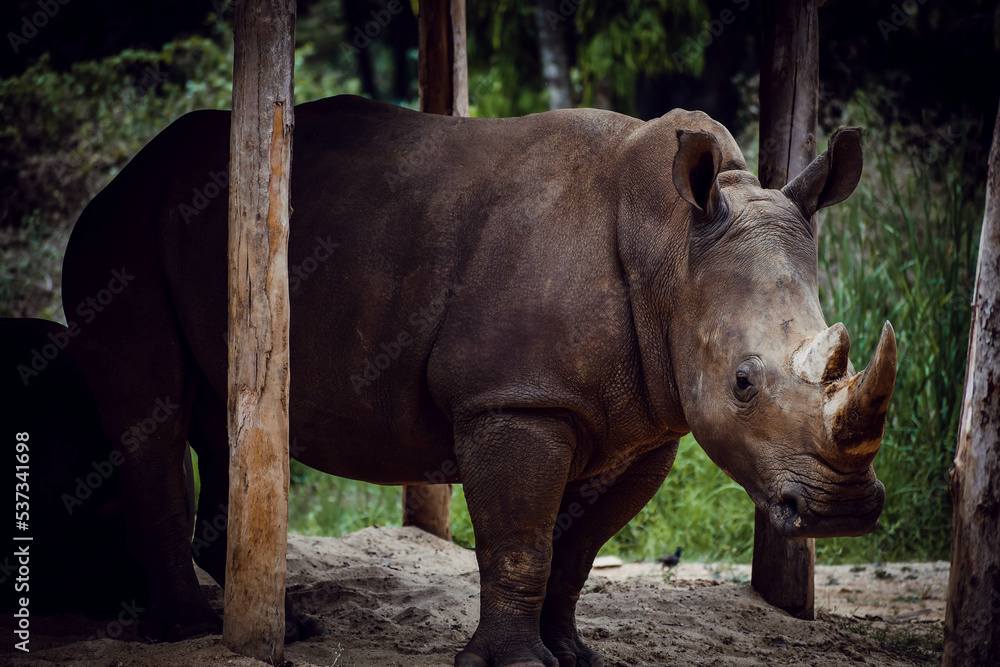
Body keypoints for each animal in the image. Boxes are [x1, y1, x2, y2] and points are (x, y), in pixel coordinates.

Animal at [62, 95, 896, 666]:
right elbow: (521, 539)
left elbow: (577, 547)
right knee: (154, 409)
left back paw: (284, 621)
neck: (668, 244)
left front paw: (574, 656)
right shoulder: (515, 399)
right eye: (744, 382)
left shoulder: (644, 425)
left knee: (224, 410)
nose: (843, 512)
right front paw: (513, 663)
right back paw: (190, 631)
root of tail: (127, 170)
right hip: (120, 230)